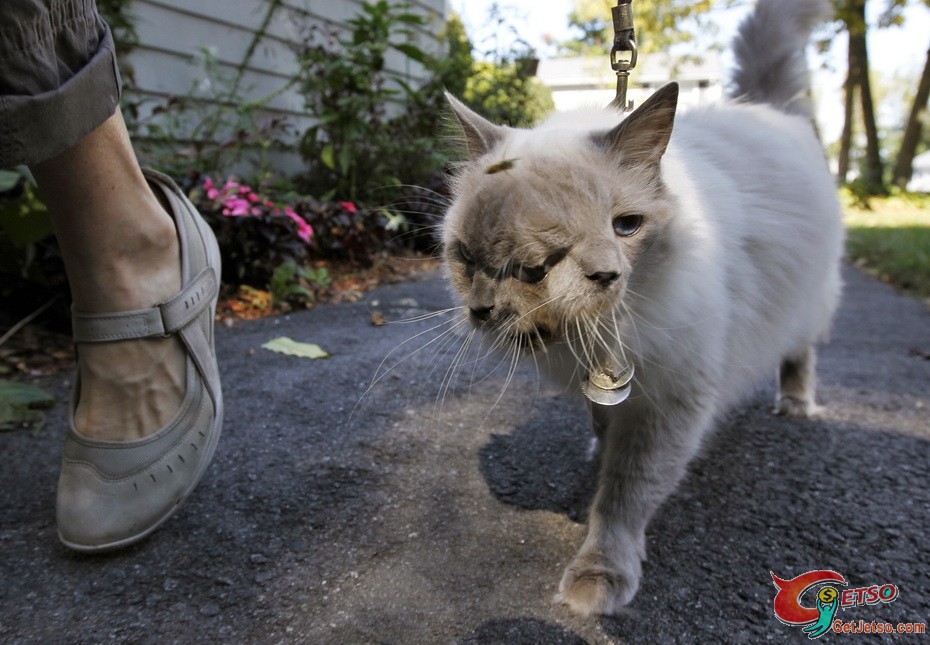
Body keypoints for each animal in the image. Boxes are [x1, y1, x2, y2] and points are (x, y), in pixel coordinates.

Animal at [436, 0, 840, 616]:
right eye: (489, 256)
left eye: (625, 226)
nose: (606, 274)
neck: (595, 335)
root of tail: (764, 107)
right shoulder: (611, 385)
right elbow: (603, 425)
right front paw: (595, 447)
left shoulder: (670, 402)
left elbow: (624, 495)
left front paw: (598, 578)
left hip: (809, 302)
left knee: (801, 351)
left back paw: (795, 403)